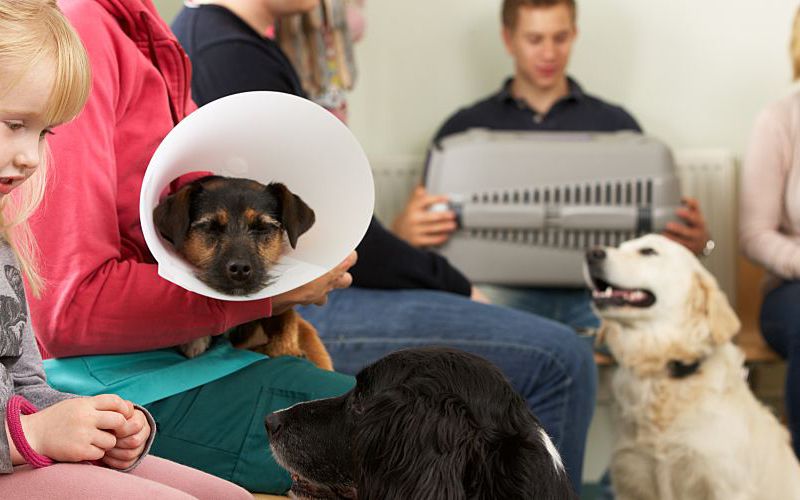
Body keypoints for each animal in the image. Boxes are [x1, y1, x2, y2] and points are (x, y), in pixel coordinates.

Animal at [153, 175, 332, 368]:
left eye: (262, 228)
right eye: (211, 227)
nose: (239, 269)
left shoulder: (286, 313)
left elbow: (286, 323)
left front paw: (287, 350)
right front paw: (195, 340)